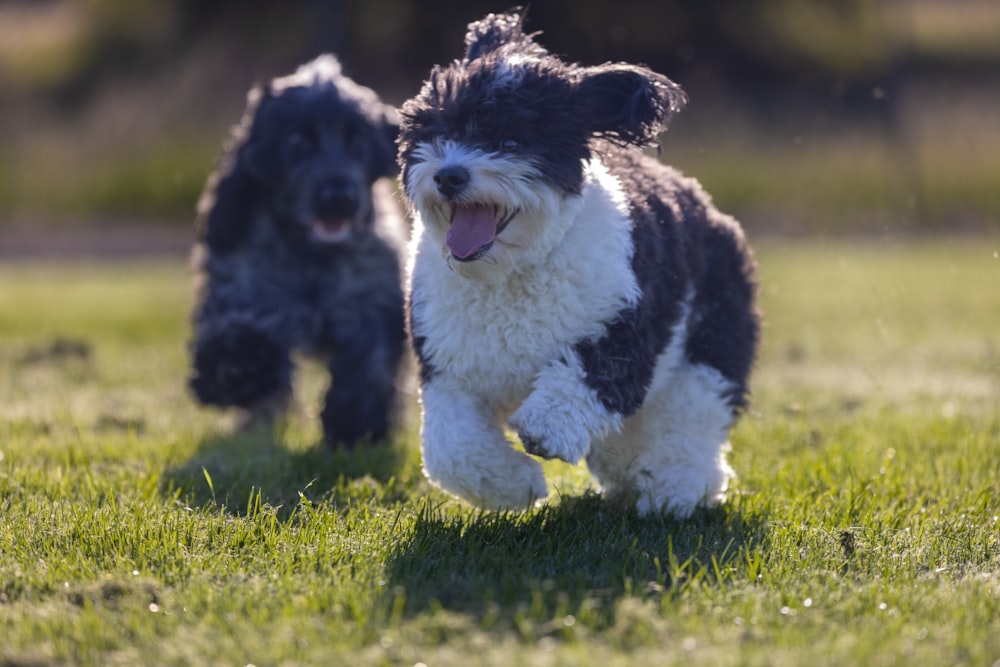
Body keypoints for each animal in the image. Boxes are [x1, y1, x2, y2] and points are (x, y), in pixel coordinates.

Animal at [189, 54, 408, 446]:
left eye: (357, 139)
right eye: (296, 139)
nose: (339, 197)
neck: (313, 255)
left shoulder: (371, 302)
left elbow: (369, 364)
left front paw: (356, 427)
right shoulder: (245, 287)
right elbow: (240, 325)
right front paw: (242, 368)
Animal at [398, 13, 756, 516]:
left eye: (511, 139)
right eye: (433, 131)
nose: (449, 175)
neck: (511, 271)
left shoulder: (621, 326)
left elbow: (589, 376)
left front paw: (545, 429)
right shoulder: (448, 365)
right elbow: (452, 449)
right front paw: (516, 486)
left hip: (711, 338)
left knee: (692, 418)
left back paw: (674, 492)